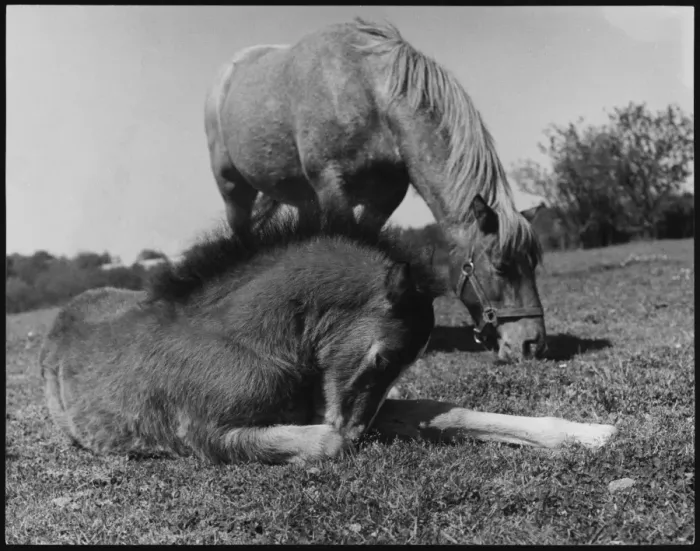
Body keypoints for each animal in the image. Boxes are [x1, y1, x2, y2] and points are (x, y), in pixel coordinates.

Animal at [39, 212, 617, 465]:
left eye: (400, 364)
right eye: (384, 358)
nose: (361, 432)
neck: (253, 342)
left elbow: (447, 411)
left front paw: (592, 433)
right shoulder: (206, 435)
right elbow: (326, 441)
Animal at [204, 18, 546, 362]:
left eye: (533, 264)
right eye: (501, 267)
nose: (532, 344)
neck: (370, 95)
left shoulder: (383, 200)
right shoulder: (332, 186)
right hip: (233, 189)